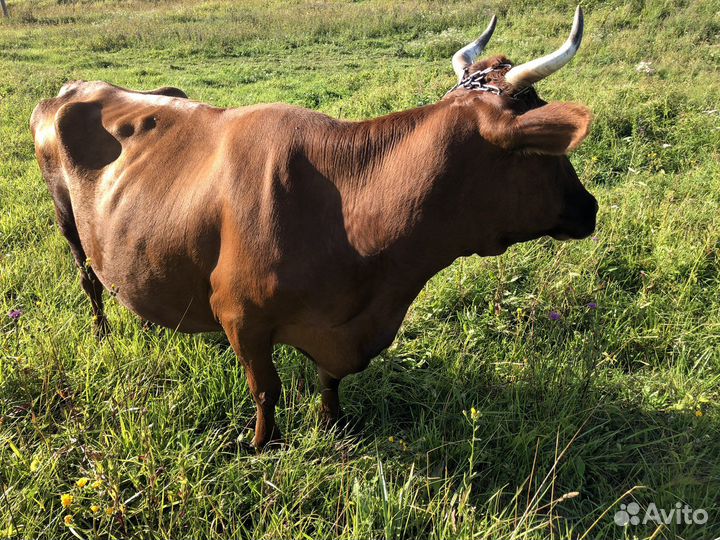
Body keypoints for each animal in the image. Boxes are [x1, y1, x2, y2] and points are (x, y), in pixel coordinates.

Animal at [30, 7, 597, 450]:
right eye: (547, 150)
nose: (590, 208)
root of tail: (74, 86)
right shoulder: (238, 314)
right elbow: (267, 389)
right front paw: (264, 444)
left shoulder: (340, 330)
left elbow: (329, 382)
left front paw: (334, 425)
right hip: (66, 220)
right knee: (88, 280)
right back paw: (103, 334)